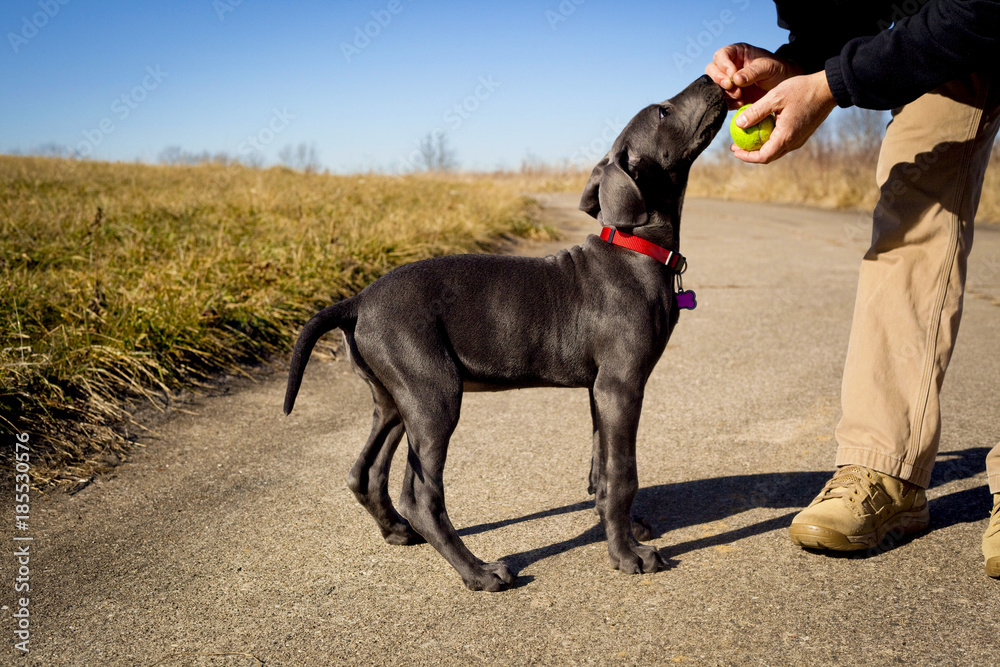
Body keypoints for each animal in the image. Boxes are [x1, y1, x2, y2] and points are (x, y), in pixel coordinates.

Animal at [286, 75, 732, 592]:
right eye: (662, 111)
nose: (711, 77)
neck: (634, 248)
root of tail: (358, 300)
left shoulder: (599, 389)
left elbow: (601, 469)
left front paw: (621, 526)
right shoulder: (621, 385)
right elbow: (623, 473)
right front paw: (627, 556)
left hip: (394, 398)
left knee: (366, 471)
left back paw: (397, 531)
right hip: (433, 395)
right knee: (421, 495)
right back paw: (479, 572)